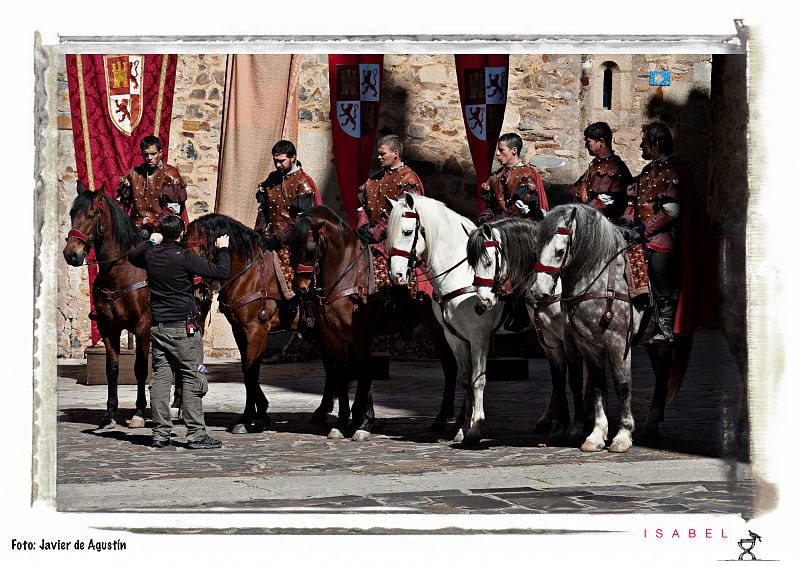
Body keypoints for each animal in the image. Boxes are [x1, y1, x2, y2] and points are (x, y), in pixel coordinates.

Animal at [61, 186, 151, 430]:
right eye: (72, 214)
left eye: (91, 214)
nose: (71, 254)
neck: (120, 270)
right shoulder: (108, 327)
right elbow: (112, 369)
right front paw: (109, 414)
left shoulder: (143, 327)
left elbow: (140, 368)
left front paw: (139, 413)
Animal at [386, 195, 532, 448]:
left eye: (406, 232)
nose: (397, 275)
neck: (462, 274)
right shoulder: (454, 337)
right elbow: (464, 379)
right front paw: (463, 428)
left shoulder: (479, 336)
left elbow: (478, 380)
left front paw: (475, 428)